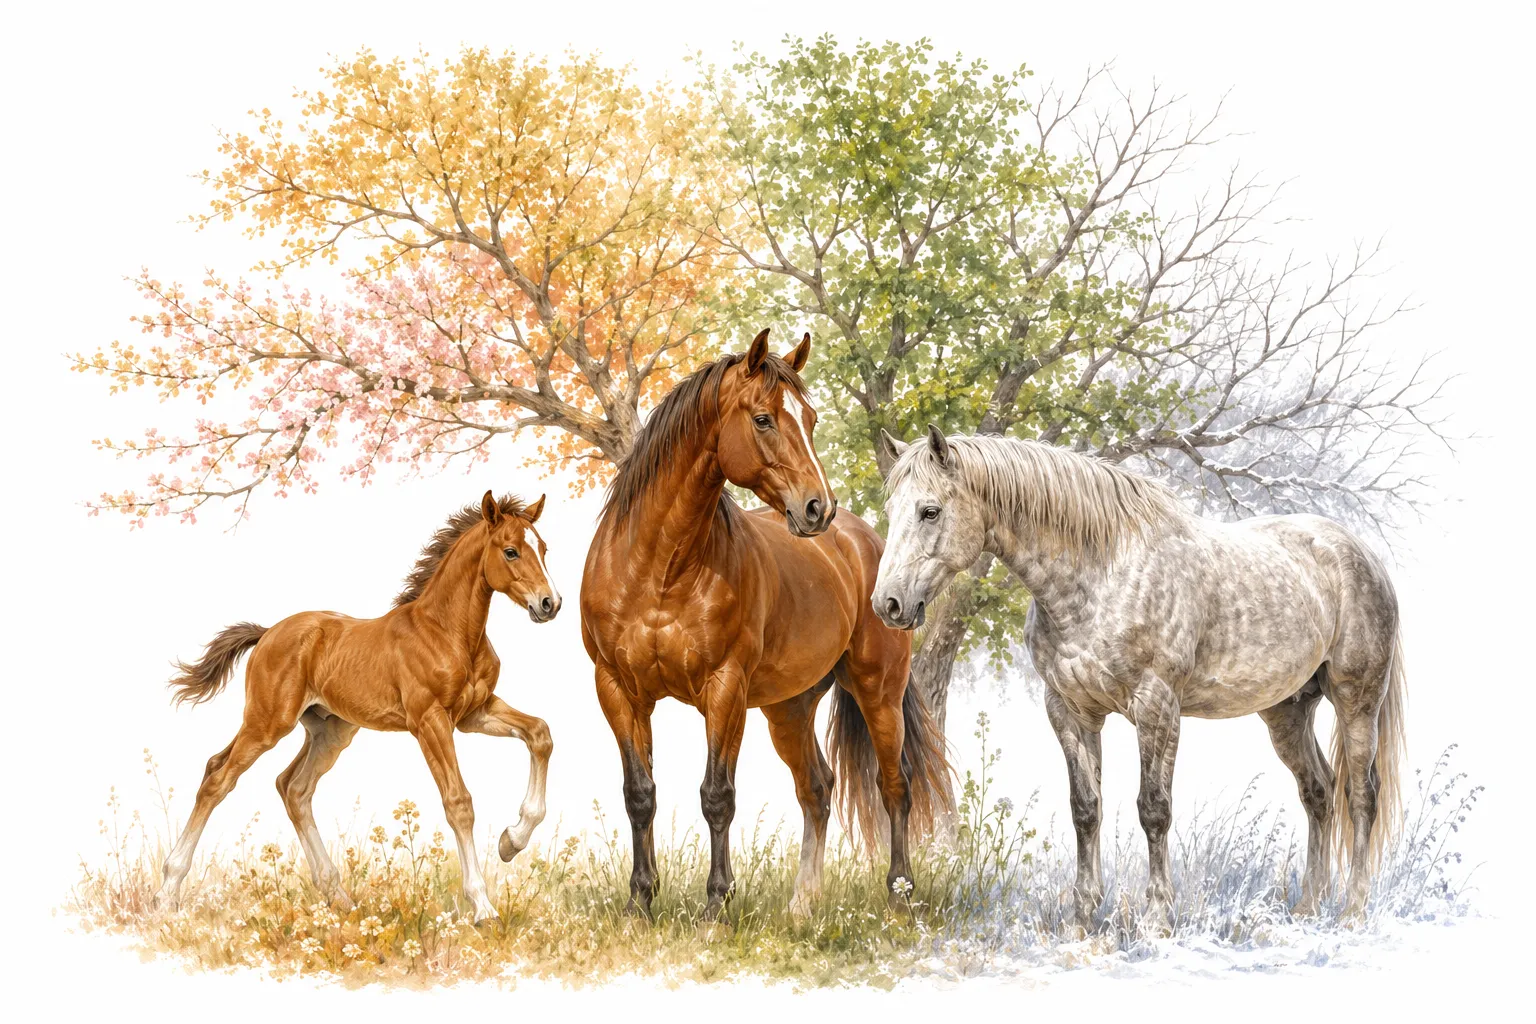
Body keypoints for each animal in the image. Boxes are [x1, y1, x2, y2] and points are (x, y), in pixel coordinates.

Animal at [153, 491, 560, 923]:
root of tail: (267, 633)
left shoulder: (474, 713)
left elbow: (540, 733)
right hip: (268, 723)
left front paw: (511, 841)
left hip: (330, 731)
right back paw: (167, 892)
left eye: (543, 549)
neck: (447, 633)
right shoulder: (430, 722)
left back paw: (338, 895)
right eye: (511, 551)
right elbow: (459, 802)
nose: (550, 603)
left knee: (293, 787)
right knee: (219, 777)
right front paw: (482, 905)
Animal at [580, 329, 952, 924]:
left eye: (812, 418)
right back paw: (803, 903)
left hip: (878, 690)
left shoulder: (724, 691)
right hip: (789, 707)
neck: (658, 570)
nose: (817, 507)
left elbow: (717, 796)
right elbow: (639, 794)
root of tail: (864, 541)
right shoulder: (618, 690)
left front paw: (716, 904)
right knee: (817, 788)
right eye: (762, 419)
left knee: (895, 783)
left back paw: (899, 892)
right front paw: (640, 900)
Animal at [872, 428, 1405, 929]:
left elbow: (1154, 809)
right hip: (1288, 710)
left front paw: (1156, 918)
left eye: (929, 511)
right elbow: (1085, 808)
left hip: (1357, 699)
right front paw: (1083, 916)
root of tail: (1361, 553)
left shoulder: (1157, 707)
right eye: (891, 508)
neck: (1103, 572)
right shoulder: (1069, 709)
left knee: (1361, 794)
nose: (888, 604)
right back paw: (1309, 907)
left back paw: (1353, 909)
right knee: (1318, 792)